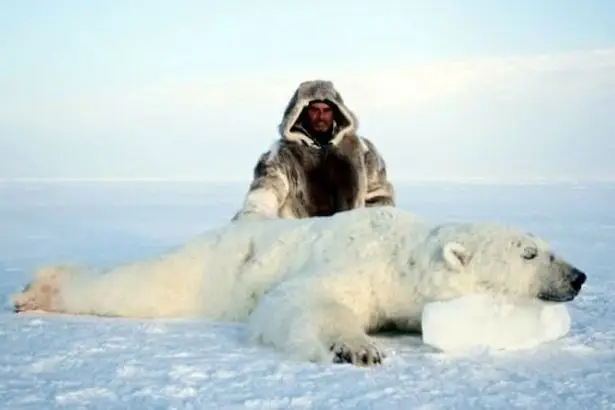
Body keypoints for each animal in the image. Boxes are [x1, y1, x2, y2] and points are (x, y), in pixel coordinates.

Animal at [12, 208, 584, 366]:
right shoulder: (357, 263)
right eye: (530, 253)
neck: (402, 252)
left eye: (548, 245)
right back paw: (37, 289)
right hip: (197, 273)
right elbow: (299, 300)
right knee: (133, 286)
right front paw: (358, 348)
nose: (578, 276)